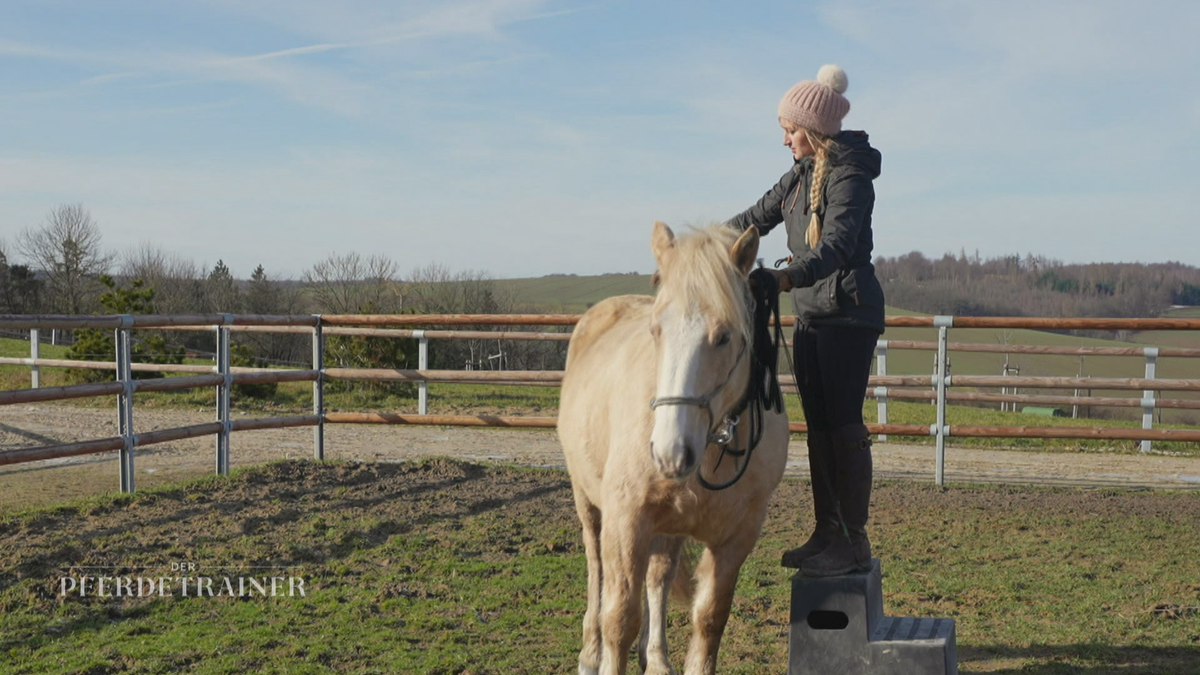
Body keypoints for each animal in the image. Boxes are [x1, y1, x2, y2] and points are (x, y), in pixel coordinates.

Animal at [559, 222, 792, 672]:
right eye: (656, 331)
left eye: (724, 336)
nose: (670, 453)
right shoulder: (626, 521)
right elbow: (619, 619)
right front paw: (608, 652)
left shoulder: (735, 538)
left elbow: (708, 620)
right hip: (589, 503)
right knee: (596, 568)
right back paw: (590, 653)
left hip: (668, 528)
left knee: (658, 577)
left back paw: (655, 657)